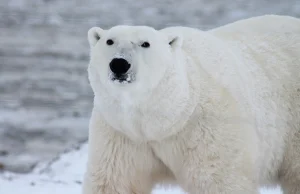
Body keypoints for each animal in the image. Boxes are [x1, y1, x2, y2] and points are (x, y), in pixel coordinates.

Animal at [82, 15, 300, 194]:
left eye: (145, 43)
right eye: (109, 41)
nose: (119, 64)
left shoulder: (206, 128)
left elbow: (220, 181)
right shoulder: (121, 134)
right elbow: (115, 182)